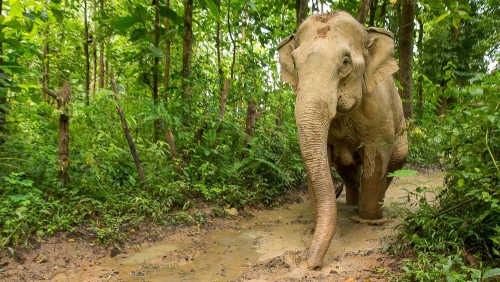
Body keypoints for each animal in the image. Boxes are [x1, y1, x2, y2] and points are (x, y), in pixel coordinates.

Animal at [278, 11, 406, 270]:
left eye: (346, 62)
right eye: (294, 63)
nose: (311, 265)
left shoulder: (378, 107)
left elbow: (378, 151)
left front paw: (368, 221)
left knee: (396, 159)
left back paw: (369, 210)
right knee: (346, 166)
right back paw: (351, 204)